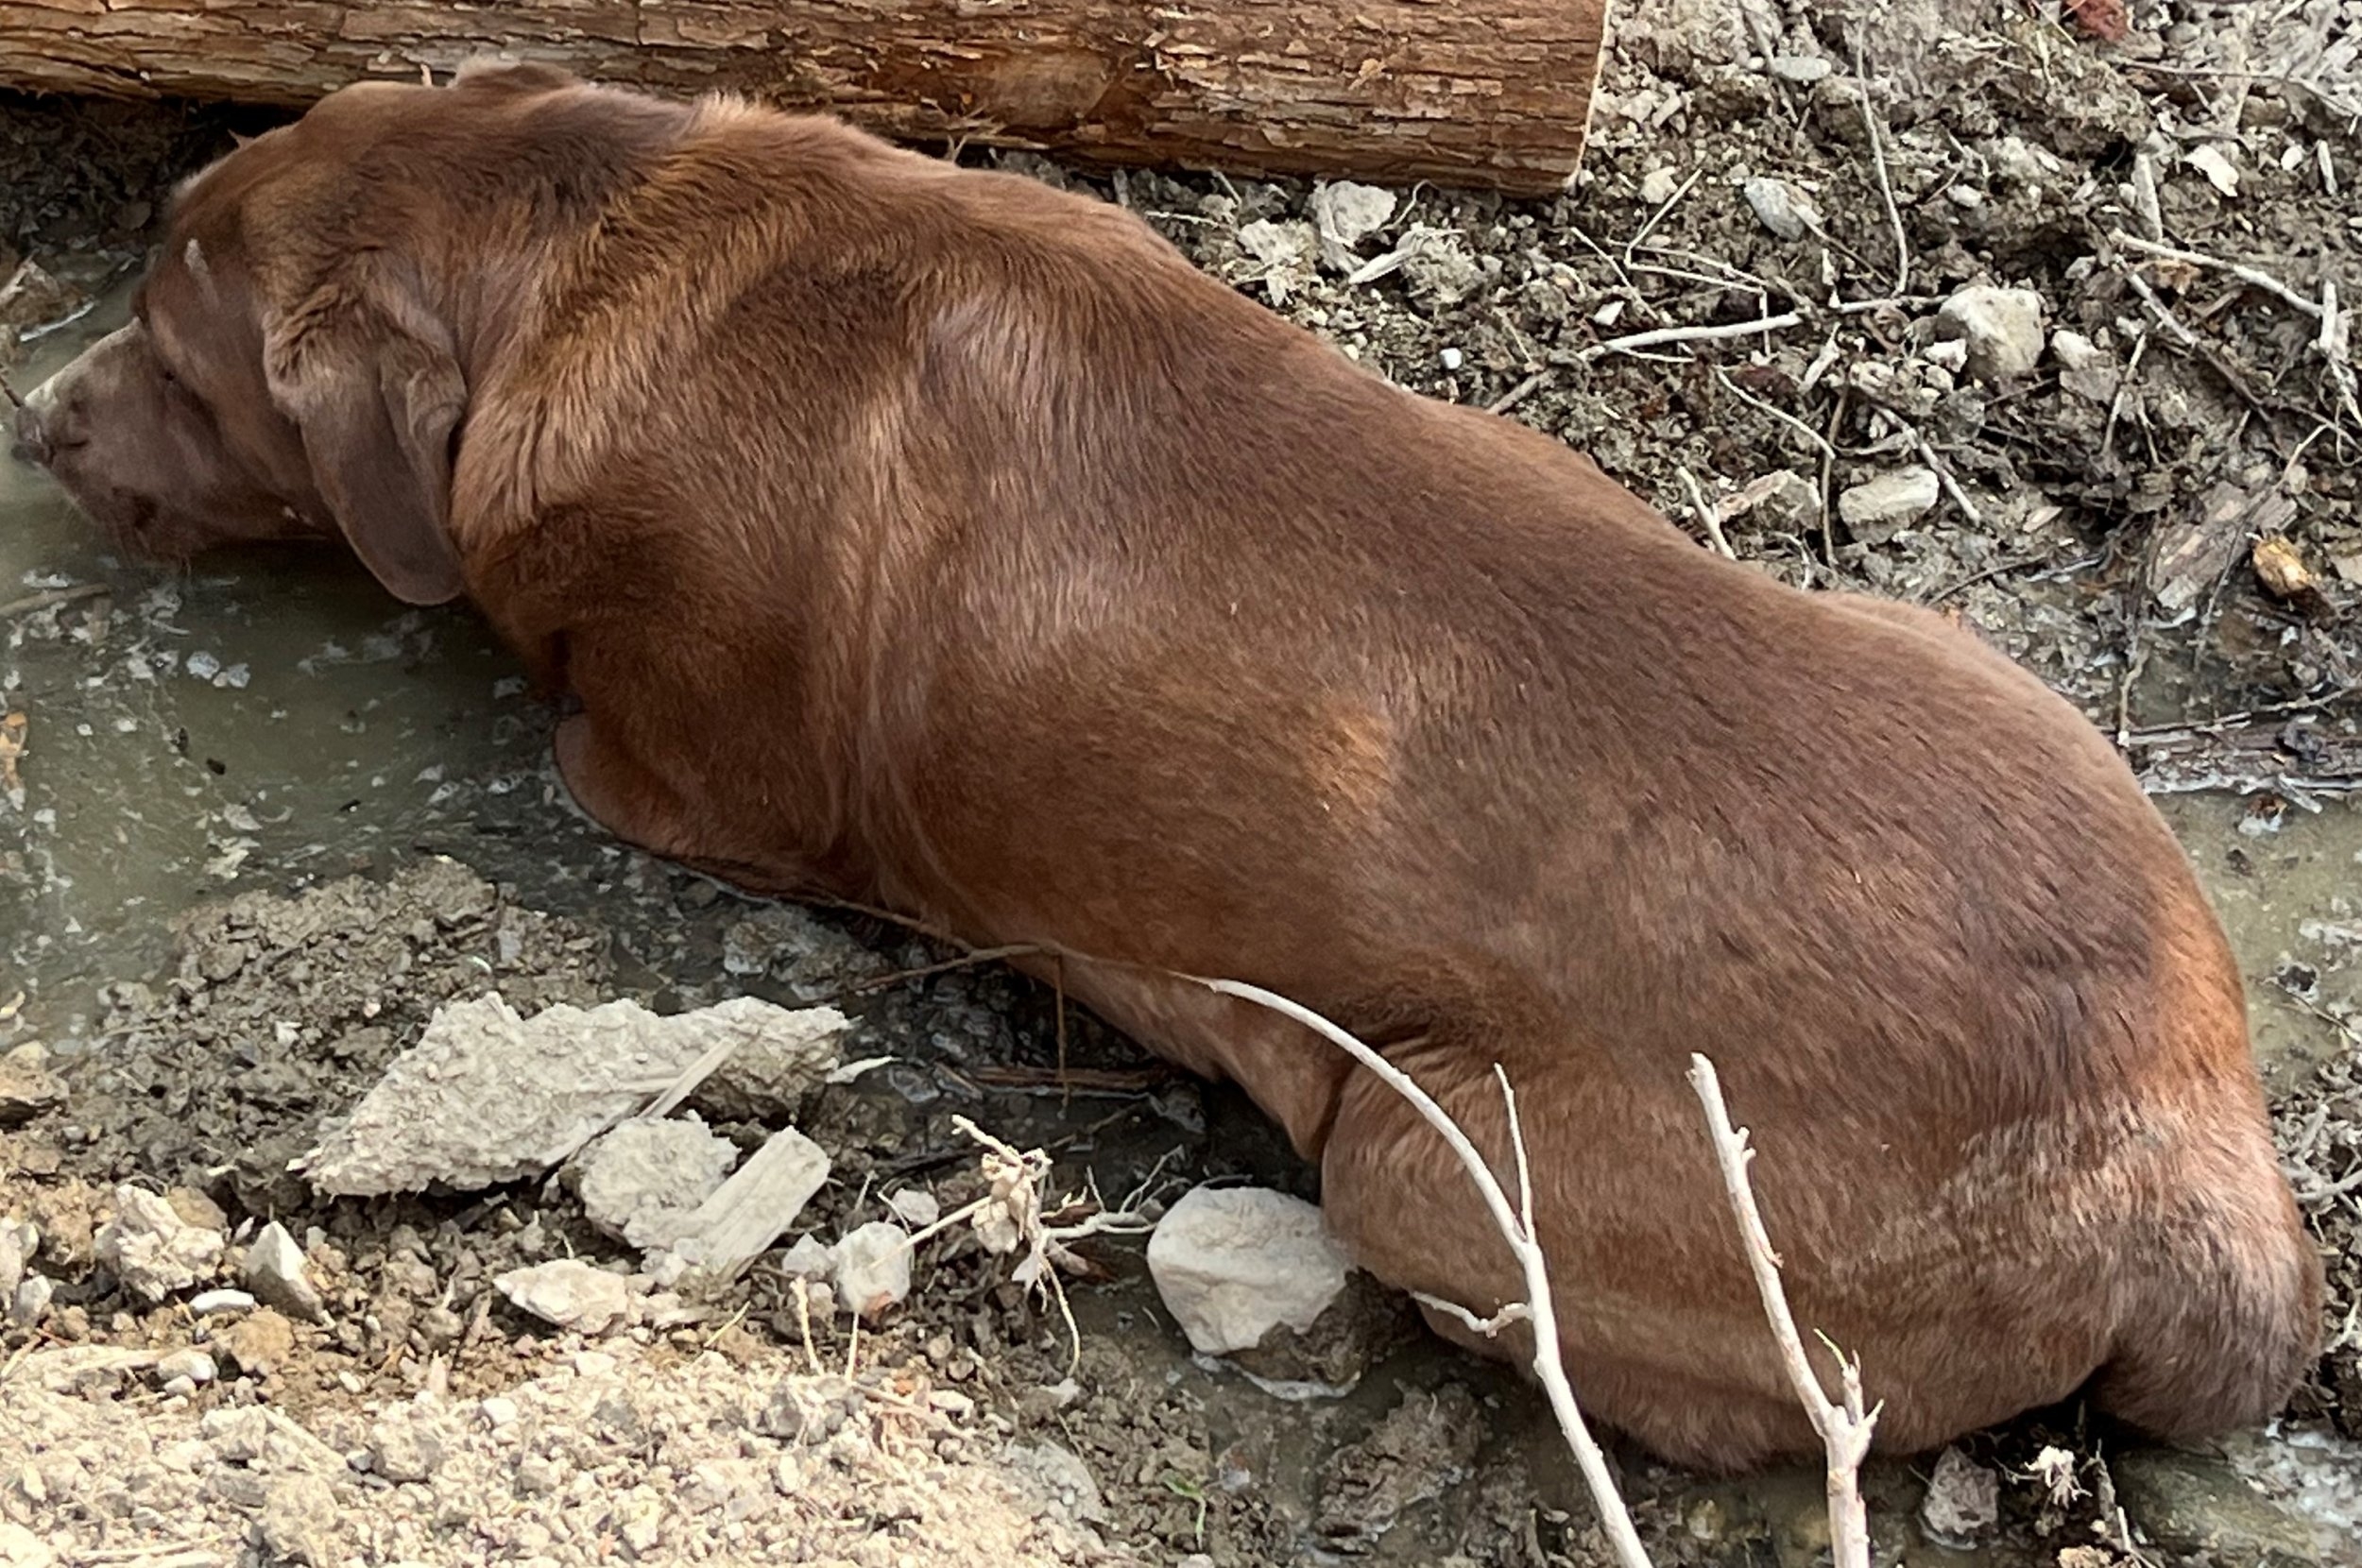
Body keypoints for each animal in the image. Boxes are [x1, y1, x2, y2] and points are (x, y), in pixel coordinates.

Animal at [12, 60, 2322, 1472]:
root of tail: (2197, 1156)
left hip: (1423, 1160)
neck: (578, 248)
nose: (37, 418)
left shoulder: (677, 765)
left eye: (176, 357)